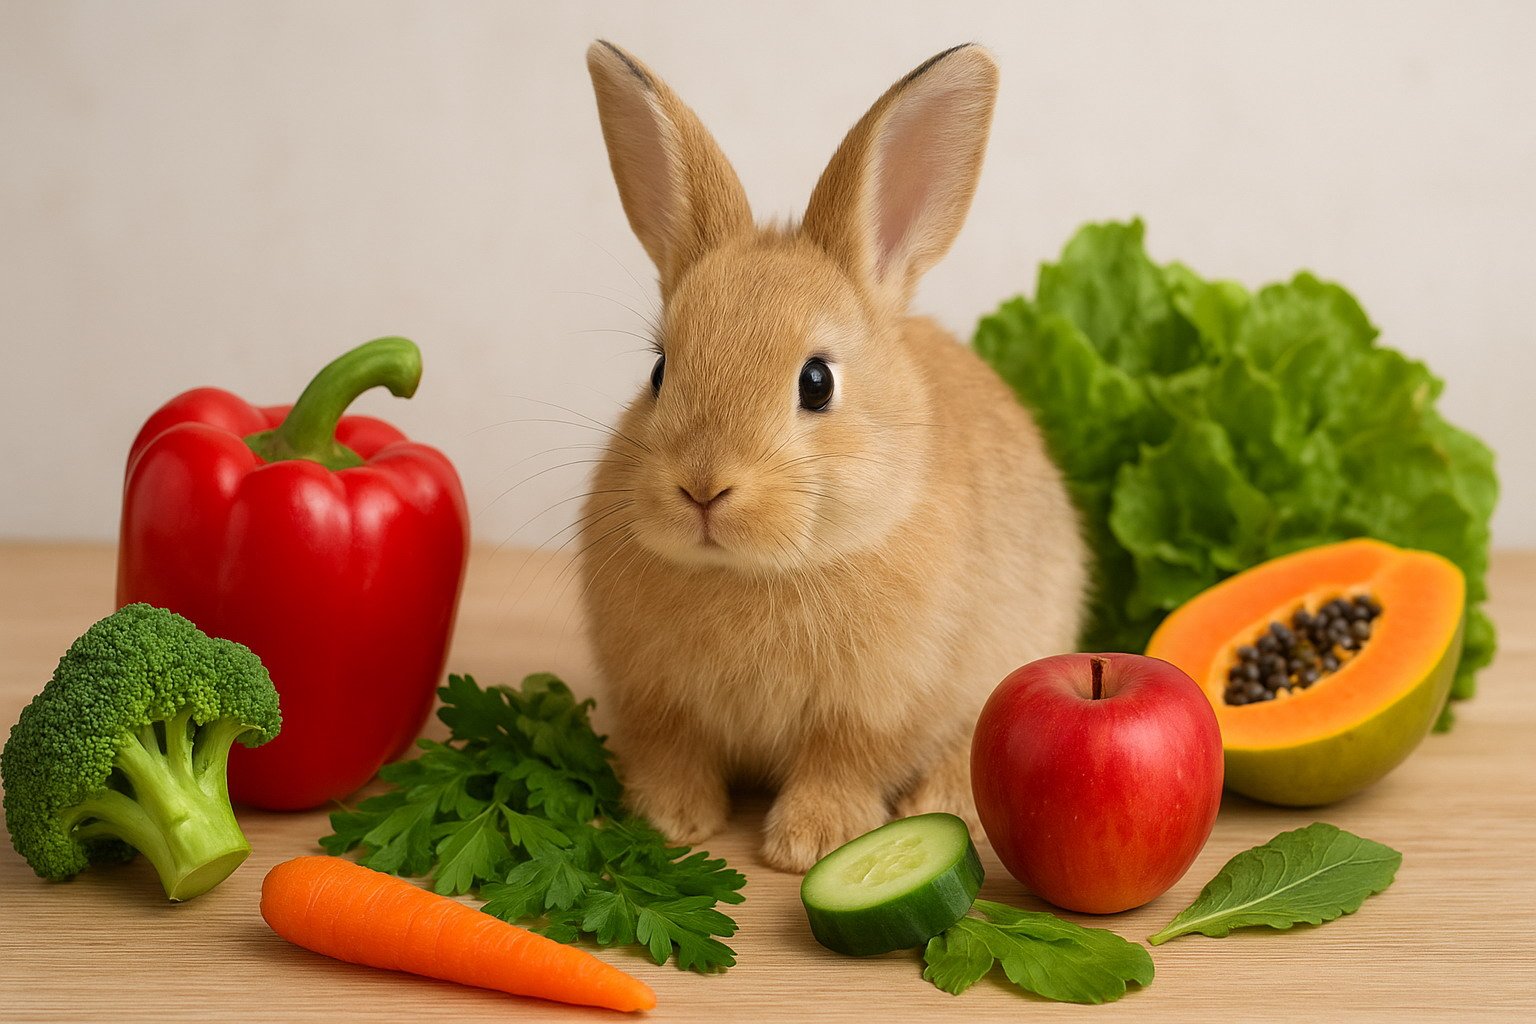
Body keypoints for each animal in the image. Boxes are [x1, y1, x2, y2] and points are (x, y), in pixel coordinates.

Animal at [578, 40, 1088, 873]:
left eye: (816, 382)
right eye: (659, 370)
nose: (702, 489)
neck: (753, 574)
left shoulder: (874, 708)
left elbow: (842, 763)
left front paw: (809, 843)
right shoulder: (659, 703)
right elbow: (674, 753)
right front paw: (672, 820)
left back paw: (947, 804)